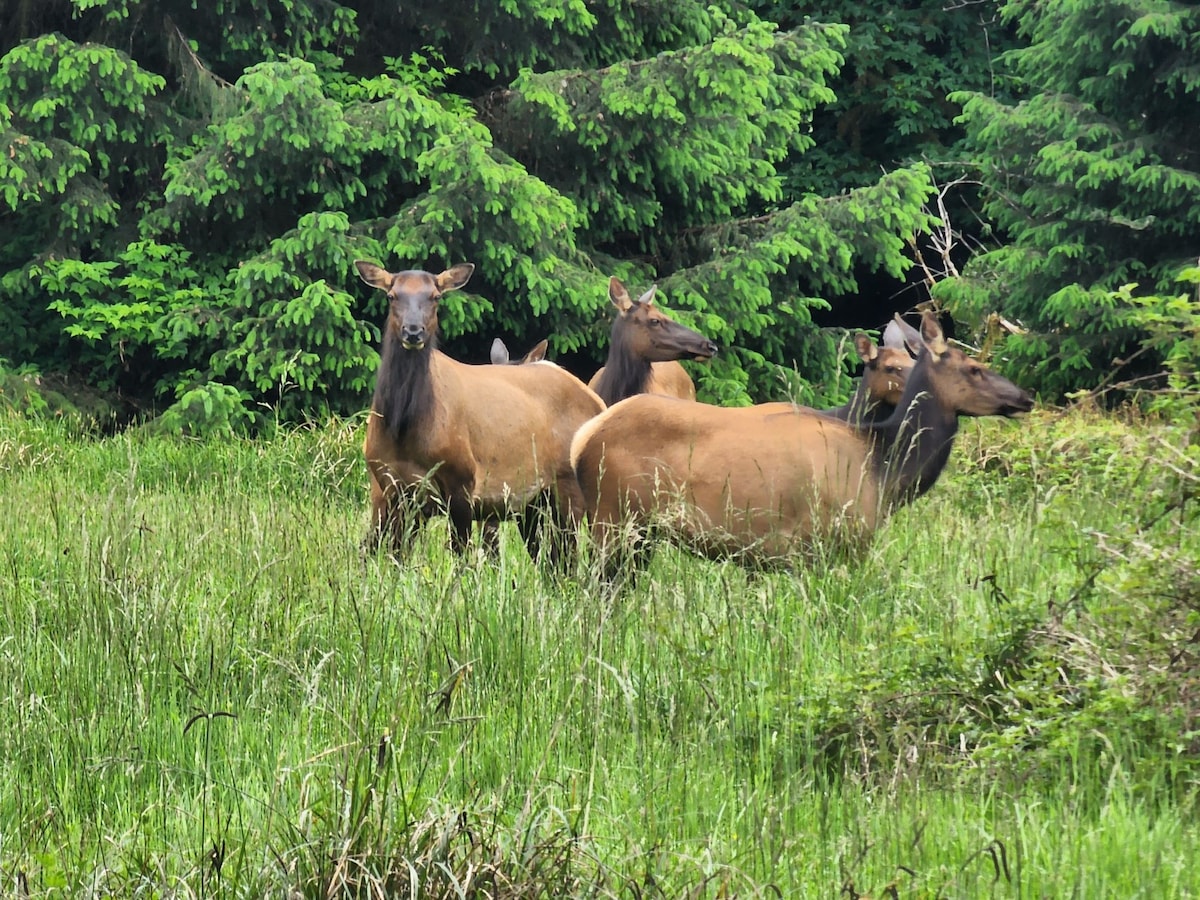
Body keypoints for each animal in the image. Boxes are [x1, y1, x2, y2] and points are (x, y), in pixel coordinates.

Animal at [352, 259, 604, 564]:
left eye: (435, 297)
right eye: (391, 296)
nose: (413, 331)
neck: (403, 430)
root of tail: (597, 401)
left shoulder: (463, 480)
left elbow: (463, 558)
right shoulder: (393, 488)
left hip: (570, 486)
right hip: (533, 503)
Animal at [571, 314, 1032, 573]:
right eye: (974, 368)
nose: (1024, 397)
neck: (885, 471)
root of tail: (583, 437)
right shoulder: (837, 542)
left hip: (640, 532)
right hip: (613, 521)